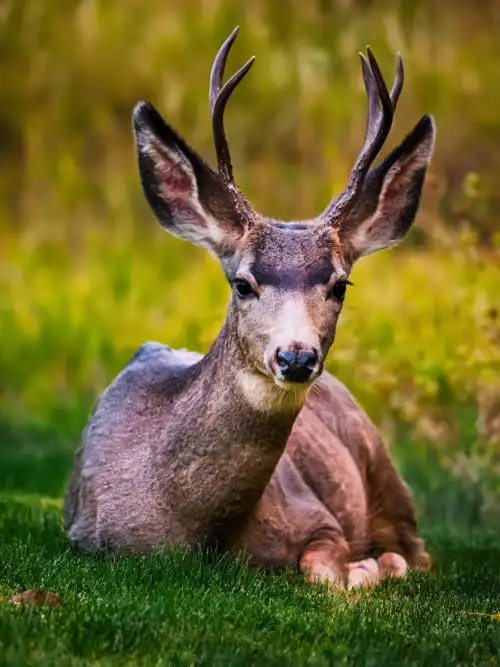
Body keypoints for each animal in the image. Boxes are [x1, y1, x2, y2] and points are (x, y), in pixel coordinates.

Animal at [64, 28, 435, 588]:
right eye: (242, 283)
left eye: (341, 285)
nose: (296, 356)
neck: (195, 532)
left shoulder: (319, 517)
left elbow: (325, 571)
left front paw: (365, 568)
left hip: (384, 469)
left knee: (419, 552)